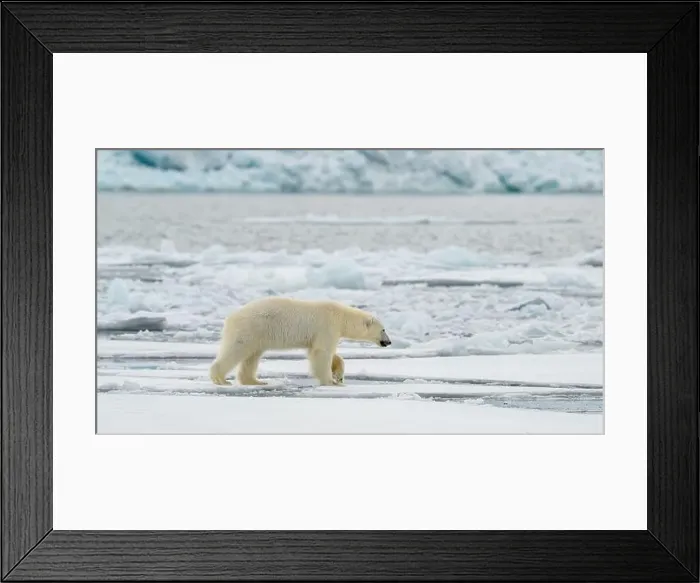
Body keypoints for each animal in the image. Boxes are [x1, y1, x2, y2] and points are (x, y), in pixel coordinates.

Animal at [208, 297, 391, 387]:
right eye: (383, 329)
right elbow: (322, 352)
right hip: (250, 329)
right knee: (236, 350)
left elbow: (323, 352)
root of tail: (231, 317)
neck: (341, 316)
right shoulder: (327, 326)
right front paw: (331, 382)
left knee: (252, 356)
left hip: (257, 335)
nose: (388, 342)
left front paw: (338, 375)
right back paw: (221, 379)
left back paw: (256, 381)